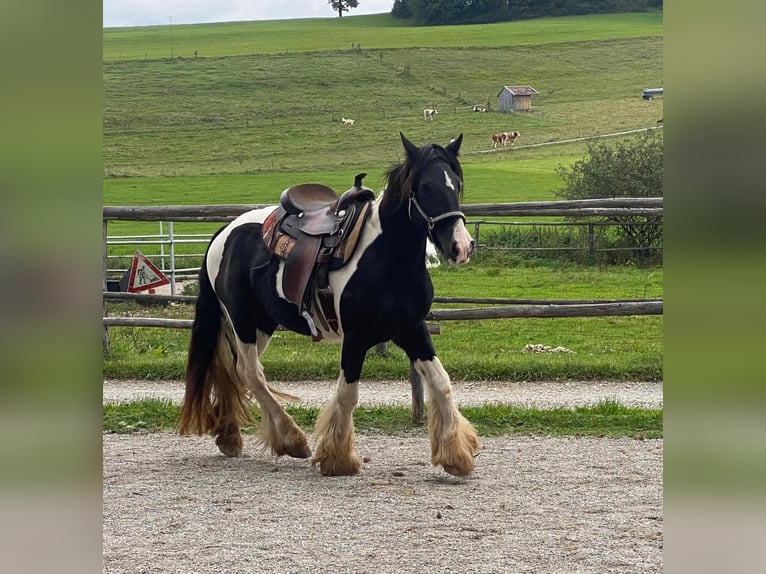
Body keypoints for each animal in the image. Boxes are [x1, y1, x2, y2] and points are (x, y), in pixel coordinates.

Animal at [180, 133, 480, 480]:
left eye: (457, 184)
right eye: (426, 186)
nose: (461, 246)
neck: (388, 258)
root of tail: (225, 232)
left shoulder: (411, 330)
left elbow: (441, 384)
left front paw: (455, 455)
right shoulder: (356, 338)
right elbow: (348, 394)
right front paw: (338, 457)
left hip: (263, 323)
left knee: (237, 369)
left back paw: (230, 435)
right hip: (242, 319)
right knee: (252, 372)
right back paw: (291, 439)